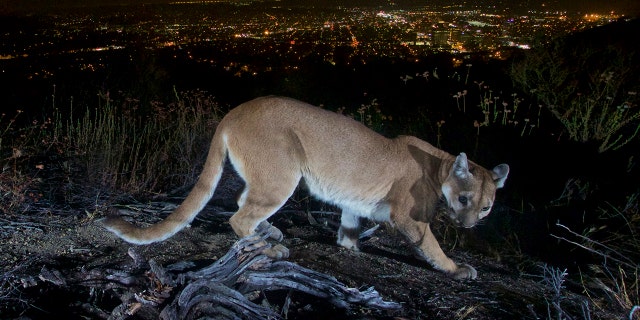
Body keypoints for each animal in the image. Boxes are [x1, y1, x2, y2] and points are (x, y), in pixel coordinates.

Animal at [101, 95, 510, 280]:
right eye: (464, 198)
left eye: (486, 206)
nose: (469, 225)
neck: (440, 165)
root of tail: (234, 111)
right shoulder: (409, 217)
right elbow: (431, 245)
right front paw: (456, 268)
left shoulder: (355, 202)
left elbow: (349, 224)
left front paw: (349, 246)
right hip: (284, 175)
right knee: (239, 215)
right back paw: (270, 246)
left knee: (242, 200)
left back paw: (270, 231)